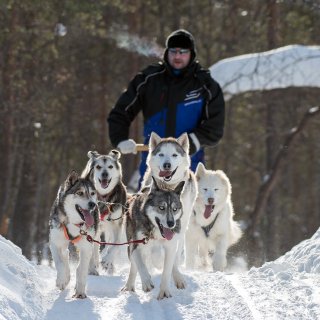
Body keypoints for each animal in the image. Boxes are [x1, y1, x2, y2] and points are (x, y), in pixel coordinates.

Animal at [141, 132, 196, 288]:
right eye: (161, 154)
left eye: (174, 155)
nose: (167, 164)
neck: (168, 188)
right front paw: (158, 262)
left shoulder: (178, 226)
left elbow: (172, 251)